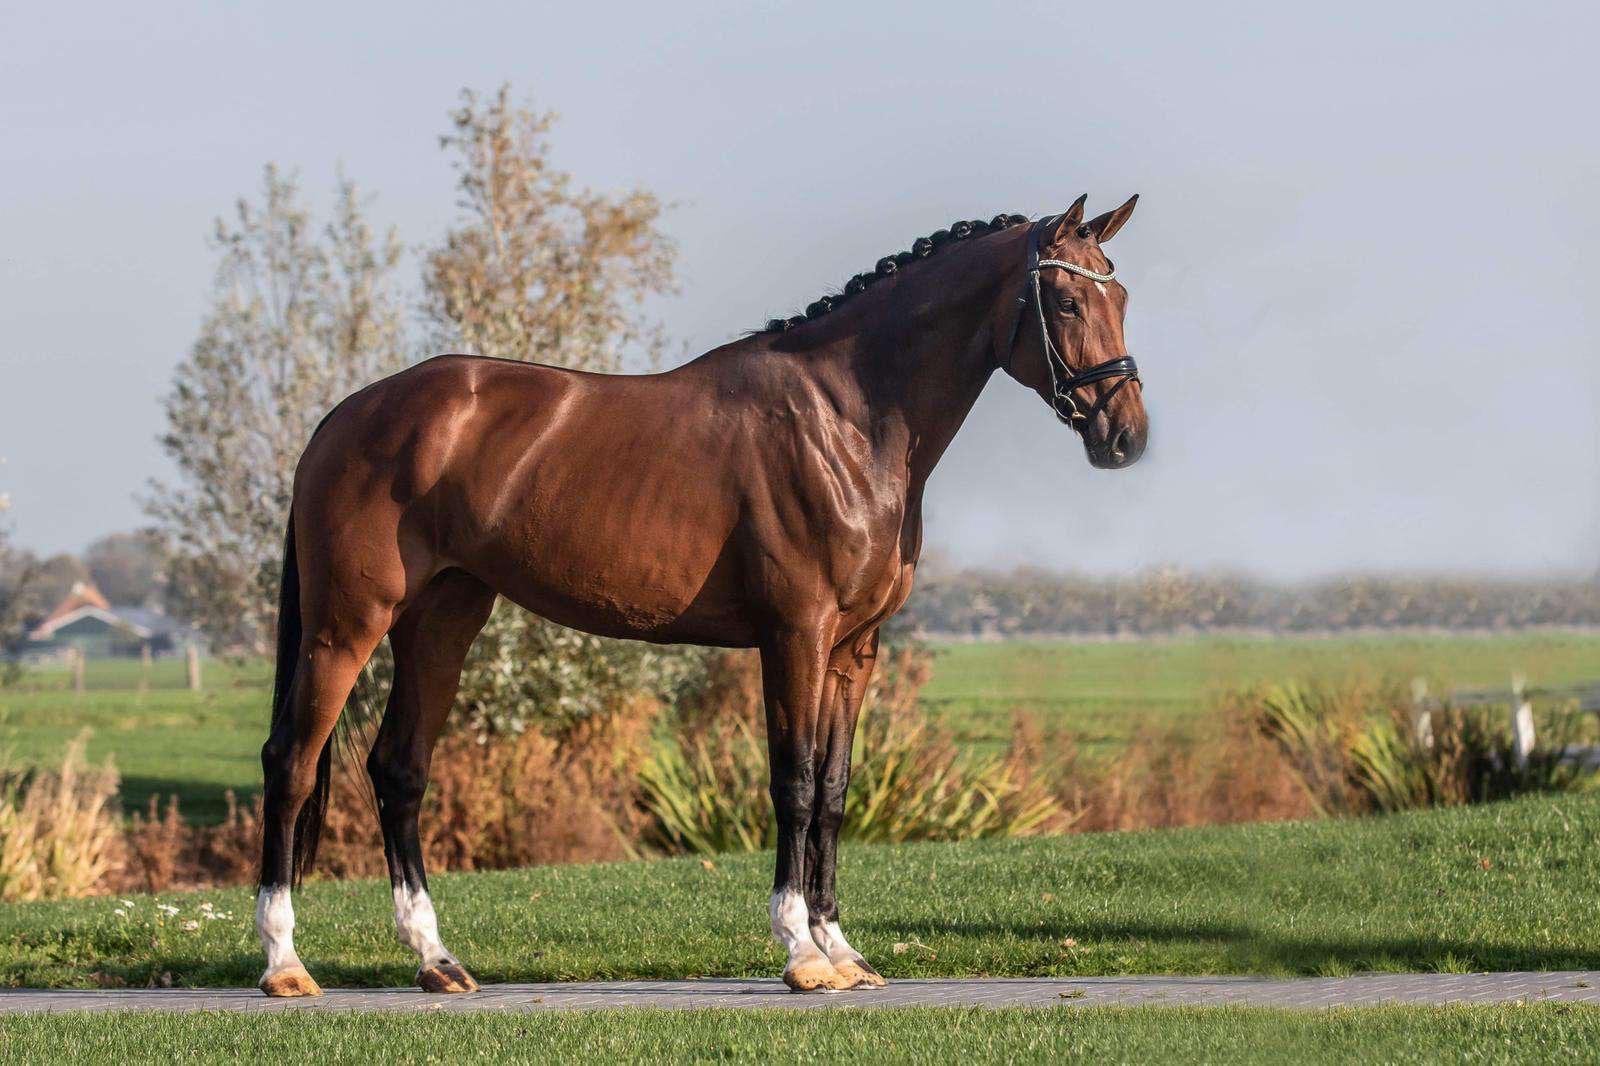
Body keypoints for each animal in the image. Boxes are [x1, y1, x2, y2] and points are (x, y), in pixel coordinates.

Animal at [254, 194, 1149, 997]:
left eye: (1121, 296)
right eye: (1067, 300)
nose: (1126, 436)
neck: (847, 420)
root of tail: (346, 416)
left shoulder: (853, 649)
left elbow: (833, 791)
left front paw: (843, 948)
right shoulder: (795, 634)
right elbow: (792, 782)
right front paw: (801, 952)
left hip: (444, 618)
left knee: (399, 768)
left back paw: (436, 960)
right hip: (347, 626)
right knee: (291, 763)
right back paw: (285, 965)